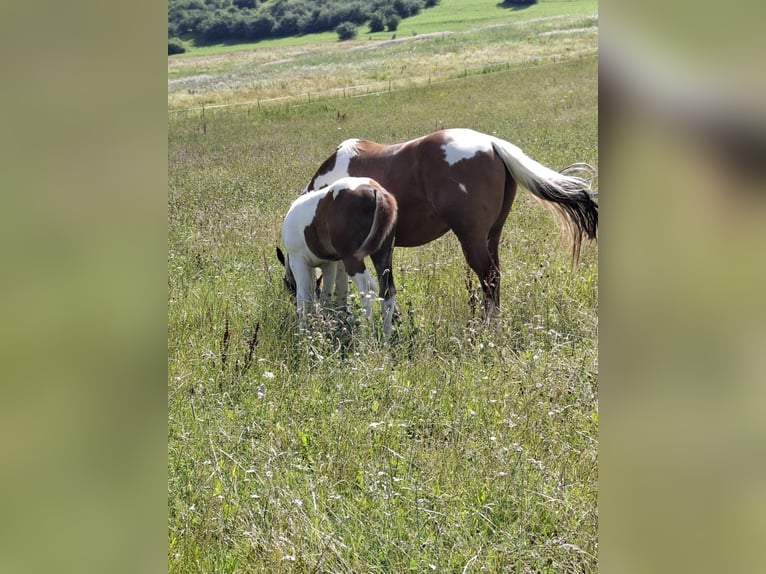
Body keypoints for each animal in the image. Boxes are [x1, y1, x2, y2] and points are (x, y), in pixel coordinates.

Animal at [276, 176, 400, 338]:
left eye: (288, 286)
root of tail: (376, 191)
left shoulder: (299, 261)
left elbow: (304, 299)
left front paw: (303, 333)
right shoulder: (329, 264)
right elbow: (325, 297)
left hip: (353, 260)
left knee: (367, 290)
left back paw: (365, 338)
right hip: (383, 255)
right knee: (387, 292)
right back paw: (385, 339)